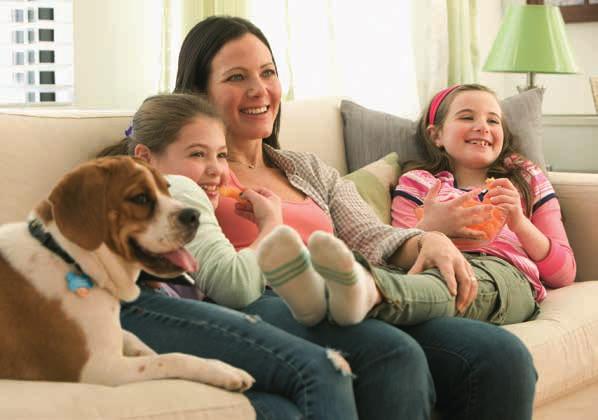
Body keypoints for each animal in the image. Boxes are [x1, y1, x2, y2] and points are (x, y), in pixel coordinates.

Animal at [0, 157, 255, 390]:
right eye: (140, 198)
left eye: (167, 187)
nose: (194, 215)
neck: (68, 256)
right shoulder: (101, 369)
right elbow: (172, 358)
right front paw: (221, 370)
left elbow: (138, 341)